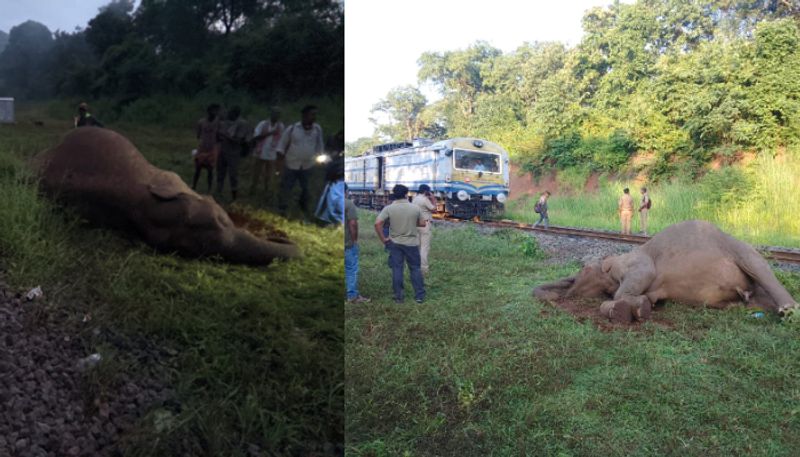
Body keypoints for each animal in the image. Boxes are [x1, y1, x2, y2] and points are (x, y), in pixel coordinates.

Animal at [532, 219, 800, 322]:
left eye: (583, 267)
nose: (554, 297)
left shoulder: (635, 260)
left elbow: (642, 276)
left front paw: (631, 309)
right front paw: (638, 307)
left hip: (741, 249)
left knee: (758, 265)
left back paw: (789, 311)